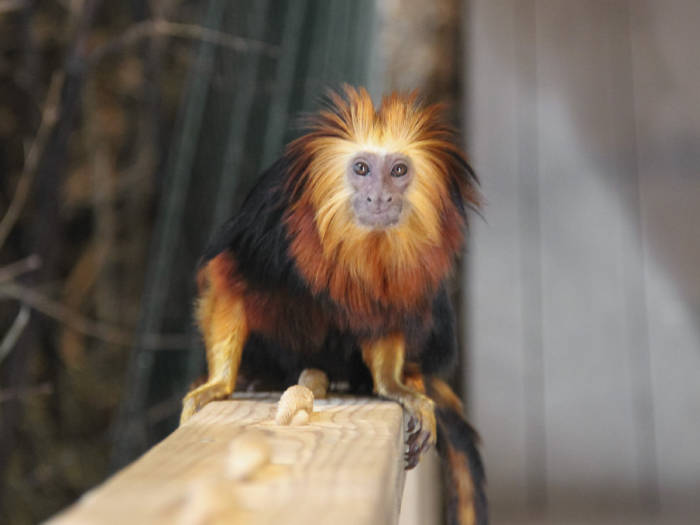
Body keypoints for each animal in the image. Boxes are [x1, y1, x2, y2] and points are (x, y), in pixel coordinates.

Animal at [180, 86, 486, 524]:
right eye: (361, 168)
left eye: (398, 171)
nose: (380, 196)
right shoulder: (269, 220)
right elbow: (229, 278)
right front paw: (218, 384)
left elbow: (389, 314)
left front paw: (394, 384)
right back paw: (258, 379)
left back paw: (409, 376)